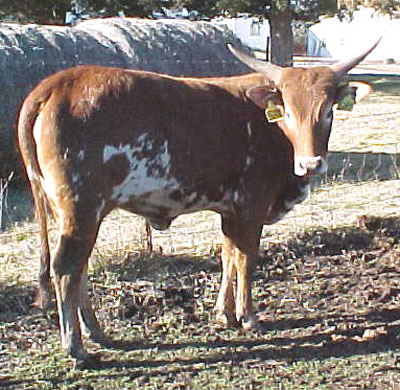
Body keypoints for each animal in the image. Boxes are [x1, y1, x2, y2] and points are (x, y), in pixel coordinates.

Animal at [18, 40, 380, 366]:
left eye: (329, 111)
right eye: (287, 112)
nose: (311, 164)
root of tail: (59, 82)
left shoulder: (230, 210)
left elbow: (228, 256)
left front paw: (224, 313)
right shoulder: (252, 205)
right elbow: (246, 259)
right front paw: (248, 317)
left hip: (69, 211)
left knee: (80, 268)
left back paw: (96, 332)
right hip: (81, 207)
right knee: (66, 267)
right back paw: (76, 347)